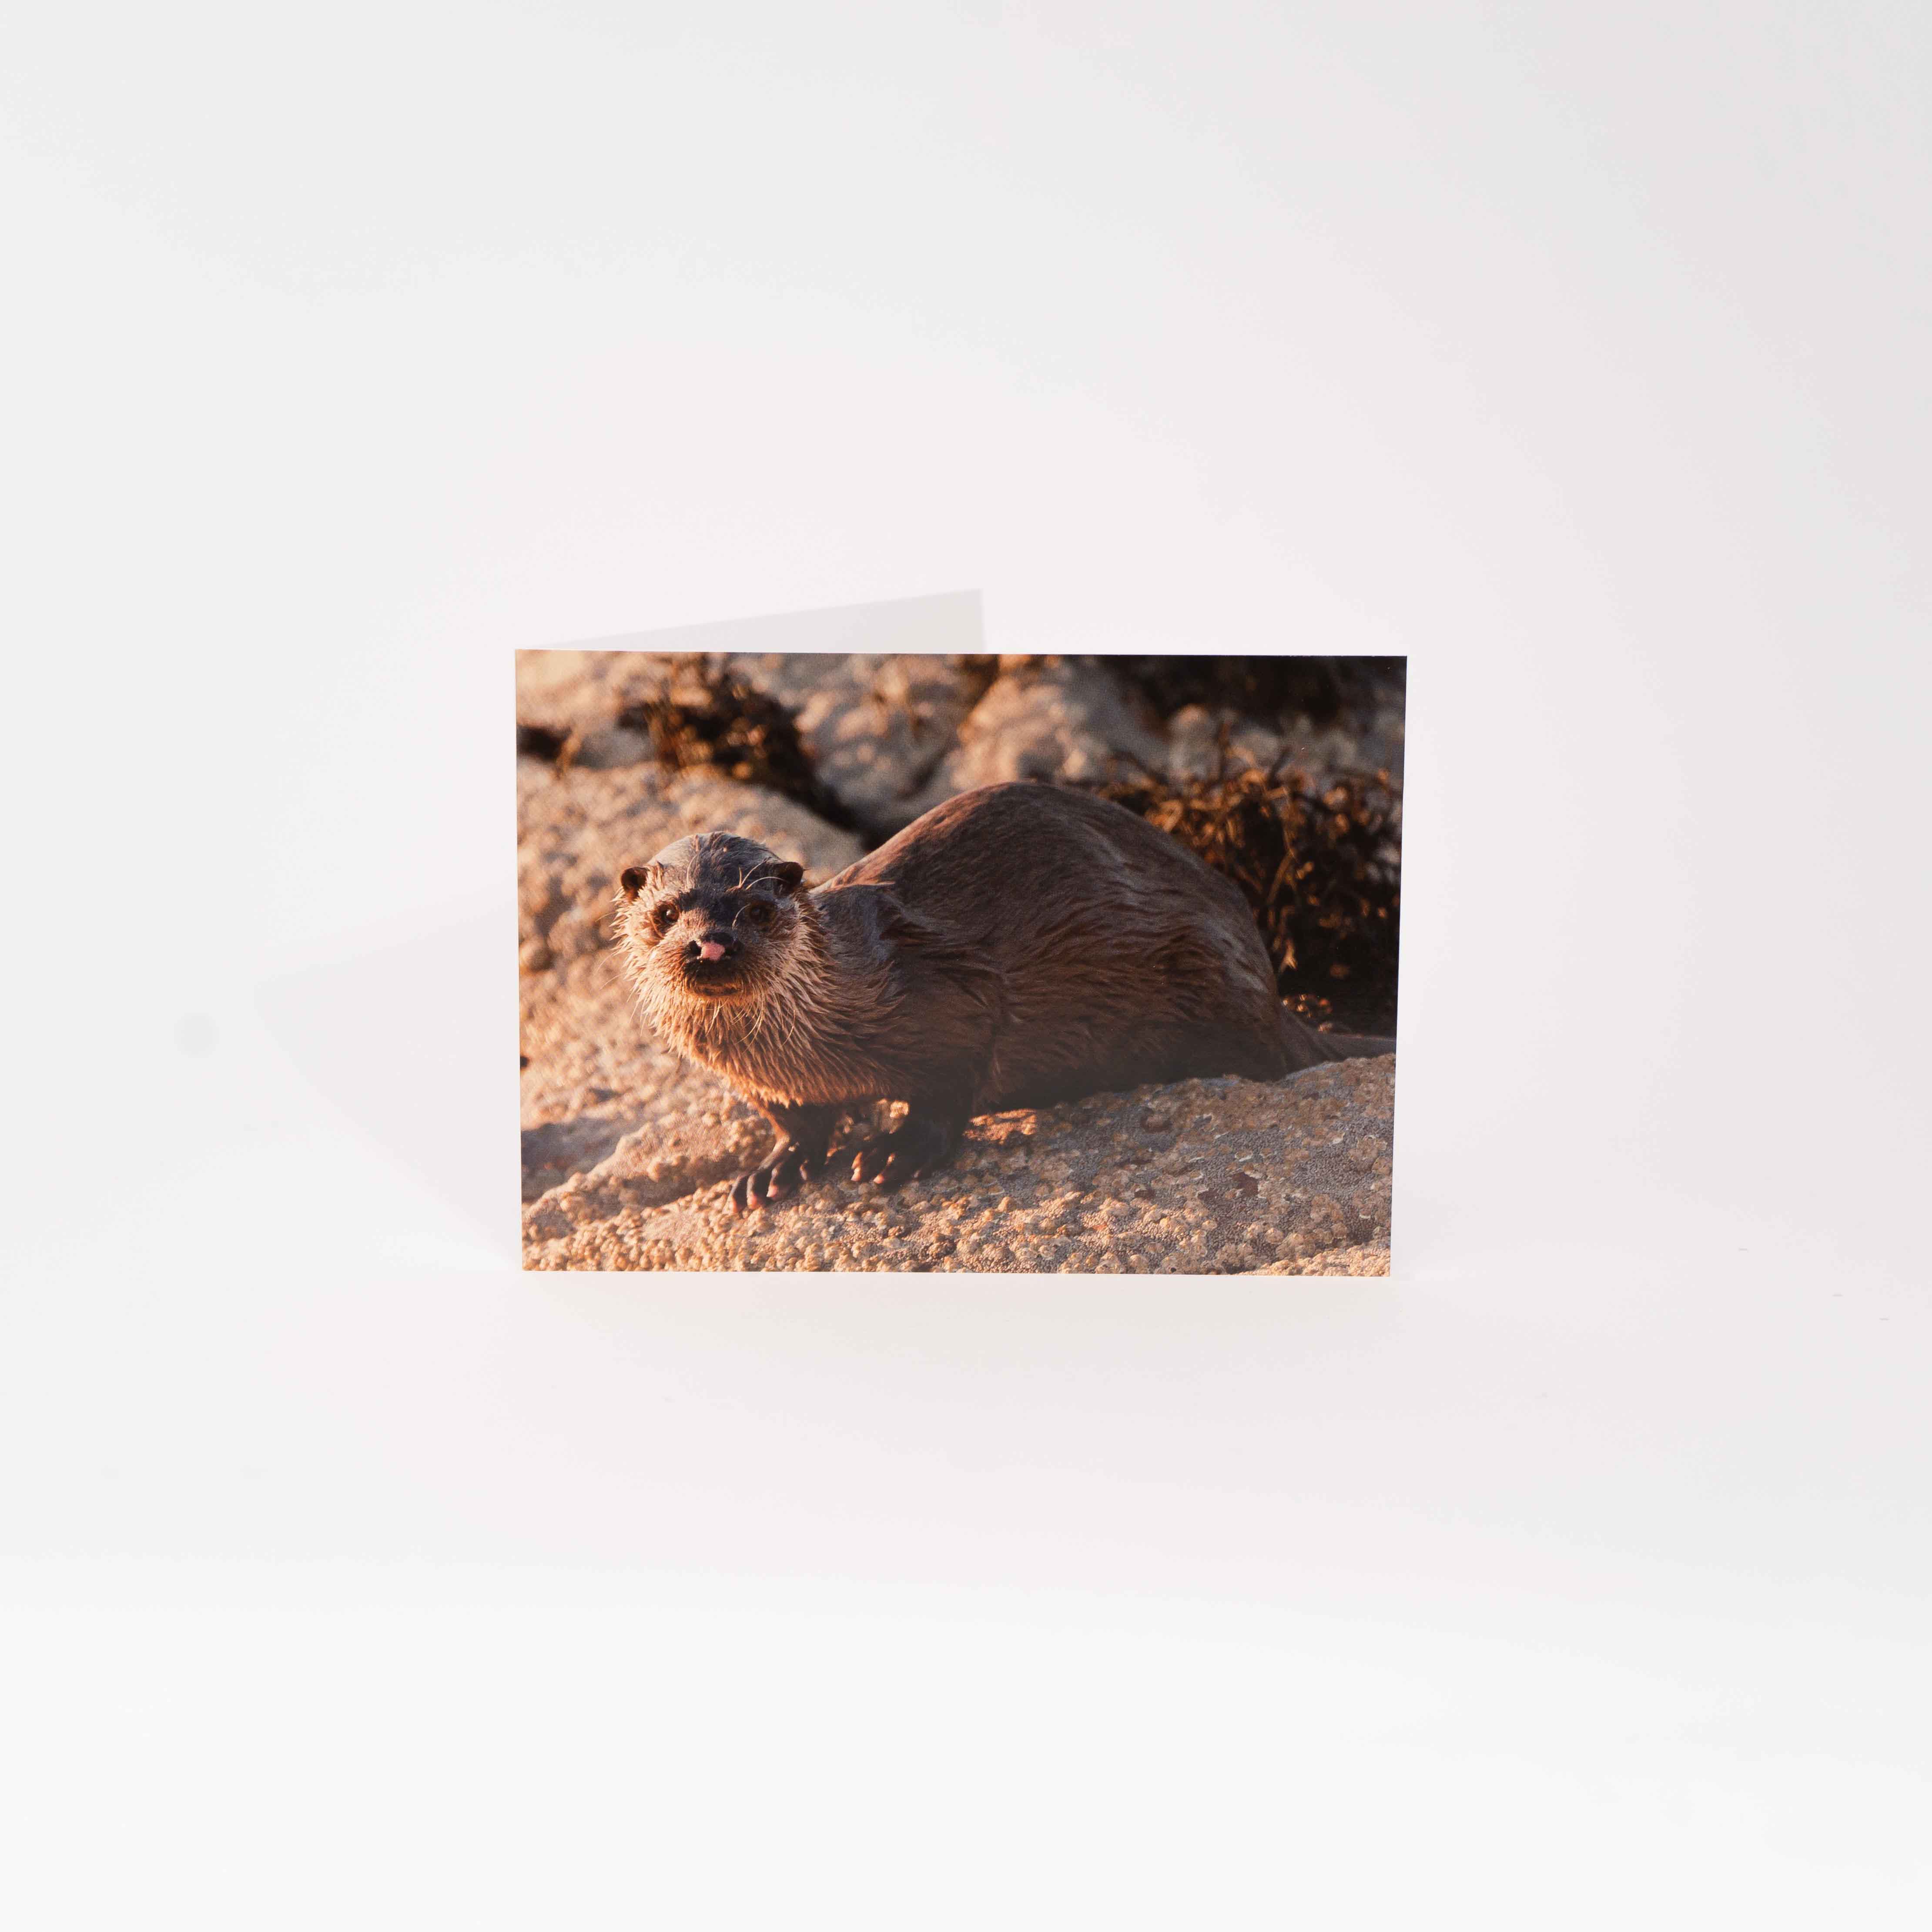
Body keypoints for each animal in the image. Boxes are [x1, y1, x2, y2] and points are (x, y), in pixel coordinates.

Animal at [617, 782, 1392, 1213]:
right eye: (667, 912)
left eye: (756, 910)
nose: (711, 945)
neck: (802, 1052)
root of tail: (1270, 988)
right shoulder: (764, 1085)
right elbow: (797, 1124)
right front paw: (773, 1171)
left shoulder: (952, 992)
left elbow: (948, 1085)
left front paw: (896, 1152)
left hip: (1213, 971)